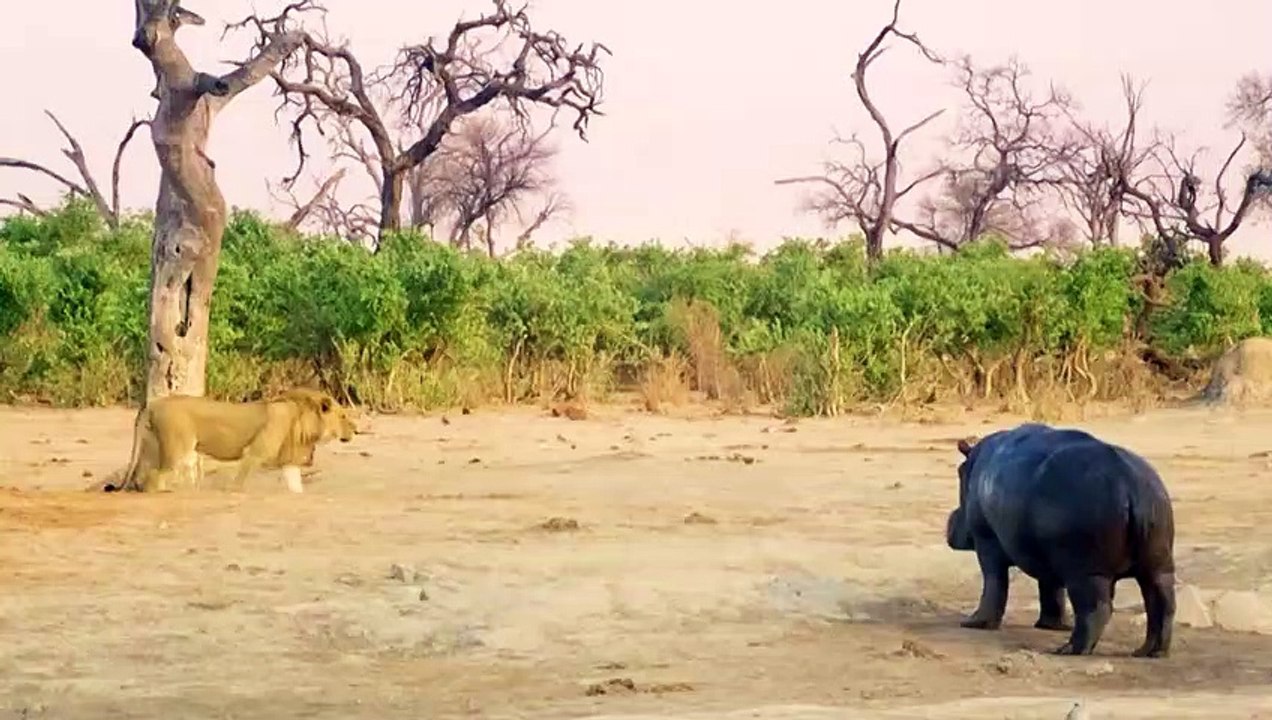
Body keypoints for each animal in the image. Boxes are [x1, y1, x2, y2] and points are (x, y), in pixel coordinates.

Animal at [945, 422, 1176, 657]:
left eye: (959, 472)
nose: (950, 521)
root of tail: (1132, 487)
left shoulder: (986, 541)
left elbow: (994, 582)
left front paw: (973, 623)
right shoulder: (1047, 559)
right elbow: (1051, 588)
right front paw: (1052, 625)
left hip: (1085, 570)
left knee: (1096, 608)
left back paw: (1067, 650)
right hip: (1157, 563)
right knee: (1162, 604)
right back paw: (1148, 652)